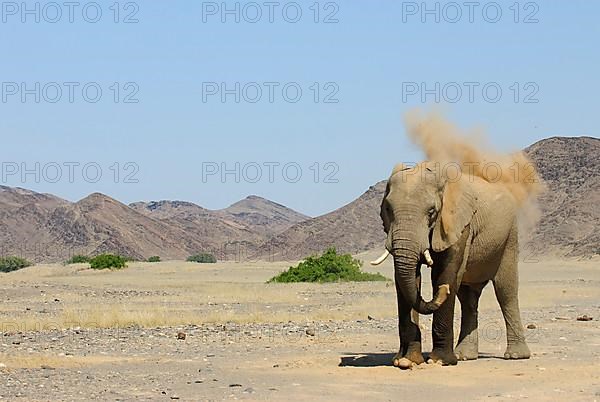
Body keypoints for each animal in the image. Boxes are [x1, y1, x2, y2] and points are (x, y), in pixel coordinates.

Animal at [372, 162, 532, 370]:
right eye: (388, 209)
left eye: (431, 211)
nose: (443, 291)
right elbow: (408, 280)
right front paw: (406, 361)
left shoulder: (457, 225)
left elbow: (444, 273)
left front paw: (440, 361)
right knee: (468, 298)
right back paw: (464, 356)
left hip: (510, 237)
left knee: (506, 291)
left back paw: (516, 356)